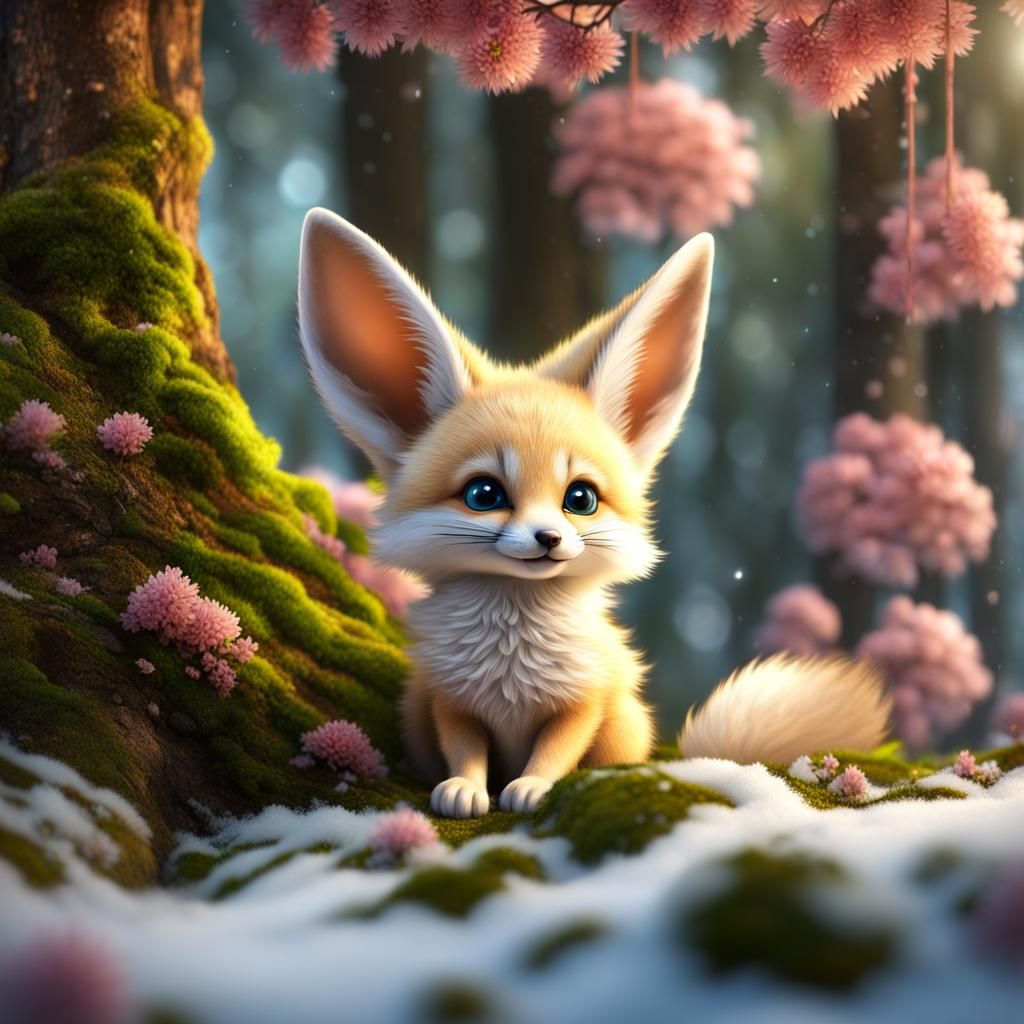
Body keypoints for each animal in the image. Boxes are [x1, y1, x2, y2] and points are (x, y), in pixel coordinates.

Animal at [297, 208, 892, 819]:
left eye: (579, 499)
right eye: (484, 495)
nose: (549, 538)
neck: (512, 651)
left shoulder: (586, 696)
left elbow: (558, 748)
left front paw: (532, 788)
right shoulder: (449, 697)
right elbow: (464, 748)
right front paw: (463, 788)